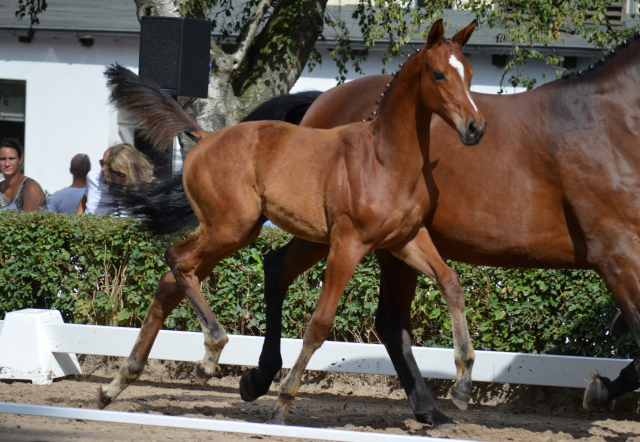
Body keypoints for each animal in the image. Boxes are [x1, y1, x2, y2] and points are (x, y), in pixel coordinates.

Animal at [97, 20, 482, 428]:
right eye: (438, 74)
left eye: (470, 74)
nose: (476, 128)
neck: (386, 160)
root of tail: (205, 137)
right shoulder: (348, 243)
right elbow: (319, 324)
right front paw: (282, 404)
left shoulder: (405, 240)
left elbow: (451, 283)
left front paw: (462, 386)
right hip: (229, 227)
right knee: (177, 259)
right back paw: (210, 353)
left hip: (235, 232)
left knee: (171, 279)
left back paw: (116, 385)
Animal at [242, 34, 640, 414]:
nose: (475, 129)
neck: (611, 121)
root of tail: (322, 100)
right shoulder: (616, 257)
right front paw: (600, 391)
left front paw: (602, 389)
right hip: (338, 236)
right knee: (306, 283)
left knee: (356, 306)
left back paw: (427, 408)